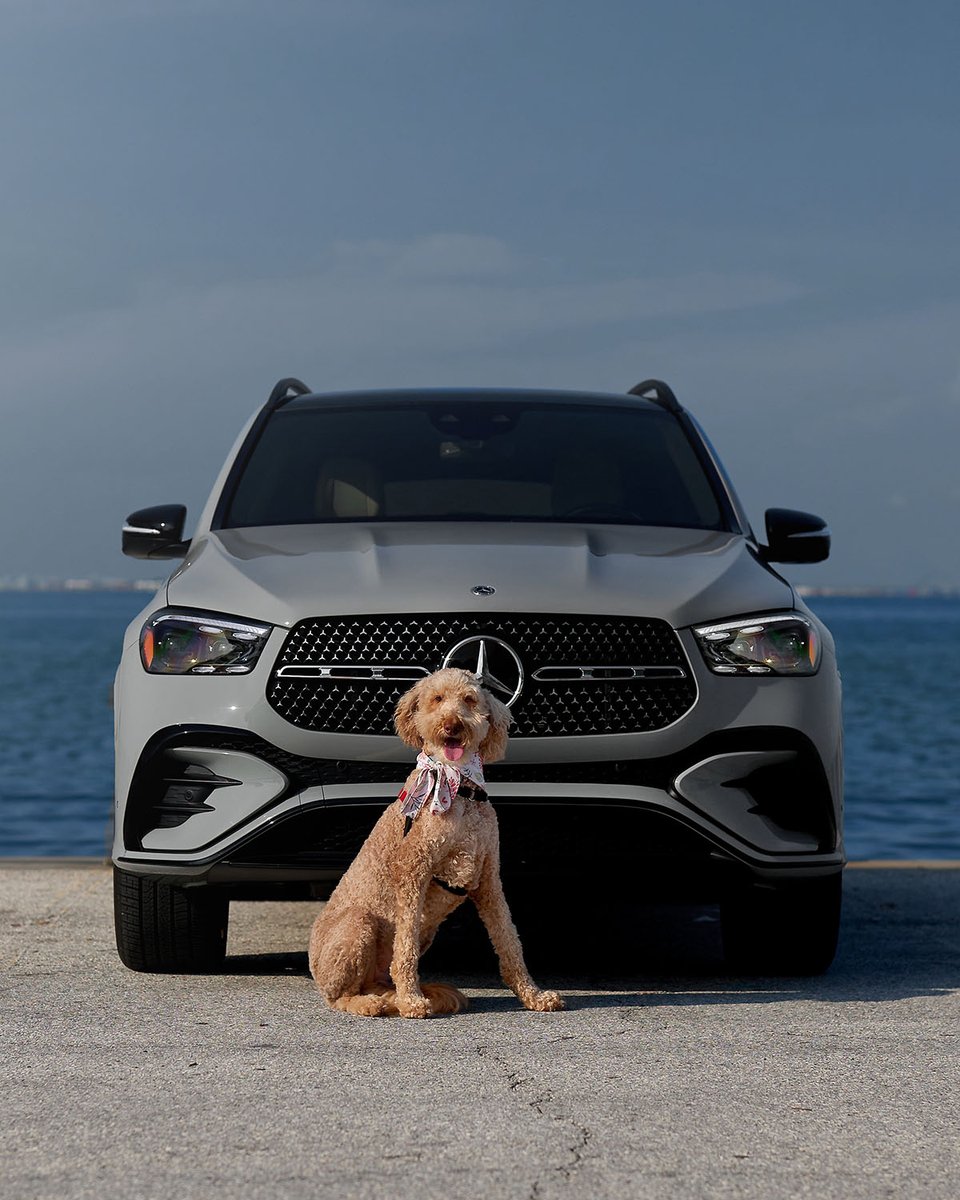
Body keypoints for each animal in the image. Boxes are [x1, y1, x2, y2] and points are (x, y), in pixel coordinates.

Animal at [307, 672, 561, 1017]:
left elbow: (510, 942)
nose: (452, 725)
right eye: (437, 699)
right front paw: (412, 1001)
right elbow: (405, 949)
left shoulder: (488, 879)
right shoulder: (412, 871)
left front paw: (534, 995)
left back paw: (393, 997)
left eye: (469, 700)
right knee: (339, 996)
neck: (457, 786)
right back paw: (373, 1003)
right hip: (359, 923)